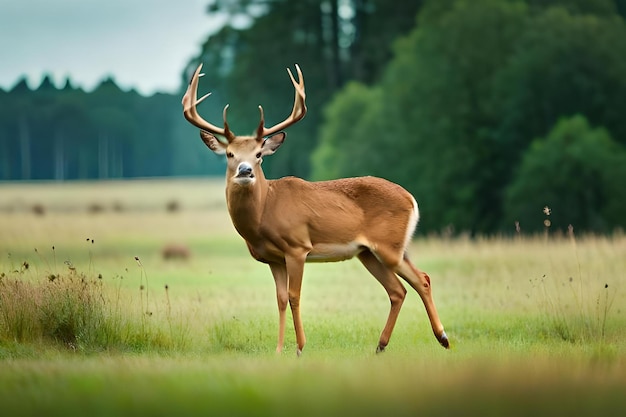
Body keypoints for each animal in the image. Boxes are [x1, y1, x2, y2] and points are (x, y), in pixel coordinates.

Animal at [180, 62, 448, 354]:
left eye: (258, 155)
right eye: (230, 154)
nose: (245, 170)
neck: (264, 212)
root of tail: (411, 198)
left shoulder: (297, 246)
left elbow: (295, 296)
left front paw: (300, 347)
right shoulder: (273, 258)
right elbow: (280, 298)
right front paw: (278, 350)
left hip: (389, 246)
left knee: (421, 279)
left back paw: (443, 338)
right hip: (369, 252)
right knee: (398, 290)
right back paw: (381, 345)